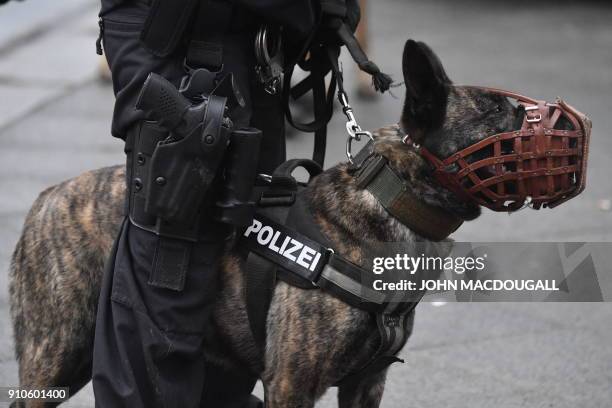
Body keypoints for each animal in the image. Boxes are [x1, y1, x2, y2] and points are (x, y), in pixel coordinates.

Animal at [8, 39, 516, 408]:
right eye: (495, 111)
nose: (526, 111)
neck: (390, 199)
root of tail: (47, 197)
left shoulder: (365, 385)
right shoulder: (290, 384)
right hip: (56, 356)